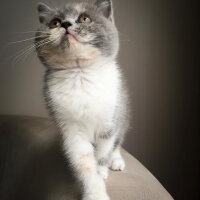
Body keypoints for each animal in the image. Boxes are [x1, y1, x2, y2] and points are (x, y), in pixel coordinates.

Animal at [35, 0, 130, 199]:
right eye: (54, 22)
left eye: (84, 19)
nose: (65, 24)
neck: (80, 74)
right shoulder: (71, 130)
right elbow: (84, 161)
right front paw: (95, 192)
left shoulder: (110, 122)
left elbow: (103, 151)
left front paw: (102, 170)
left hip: (123, 111)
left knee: (118, 141)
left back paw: (116, 160)